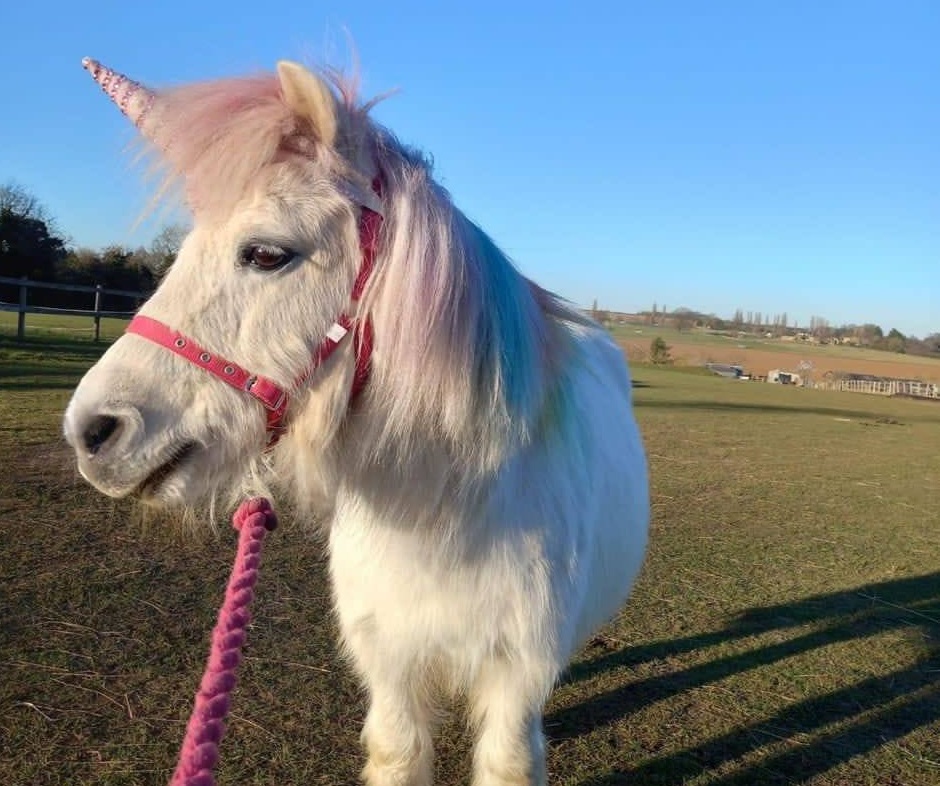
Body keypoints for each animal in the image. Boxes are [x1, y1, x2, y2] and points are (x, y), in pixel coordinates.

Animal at [66, 56, 648, 784]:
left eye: (266, 254)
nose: (92, 431)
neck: (444, 513)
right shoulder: (391, 669)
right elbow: (399, 754)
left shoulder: (516, 677)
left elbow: (509, 756)